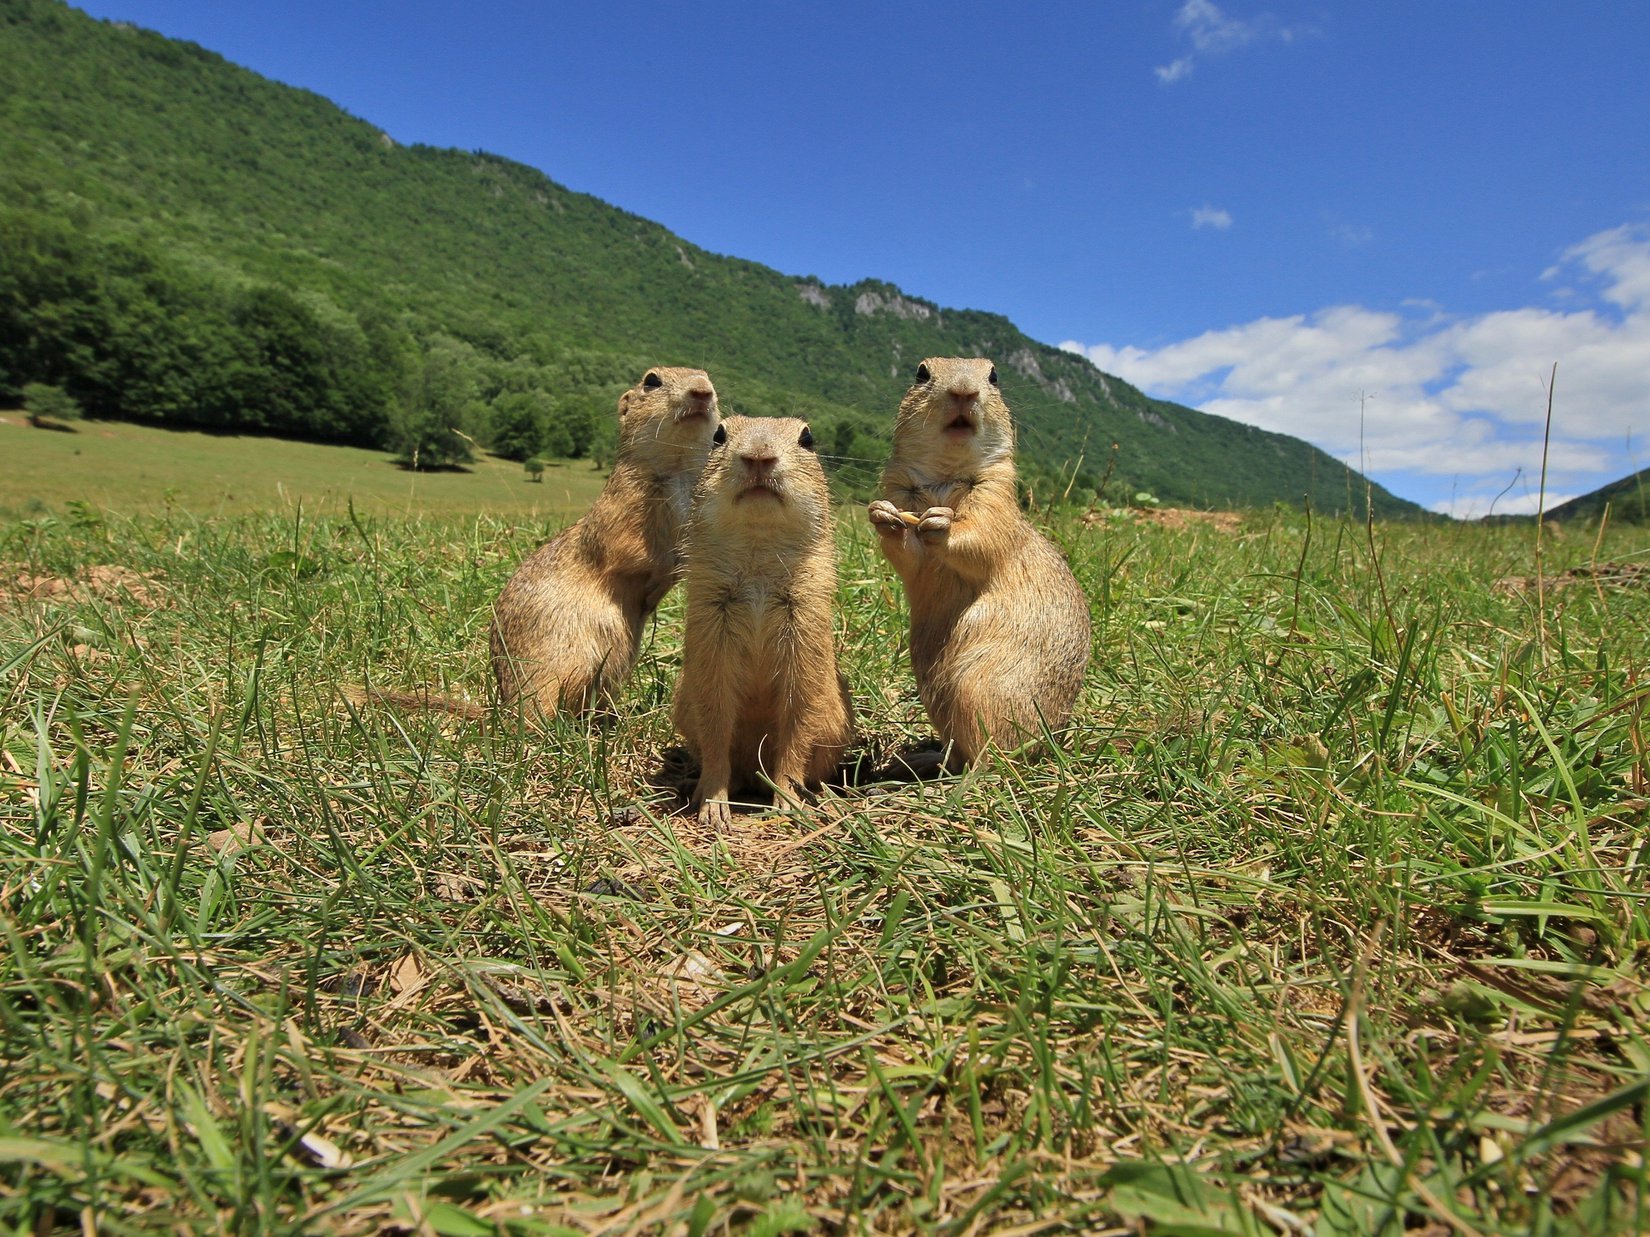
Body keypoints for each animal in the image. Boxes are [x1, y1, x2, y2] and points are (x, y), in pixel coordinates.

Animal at [491, 366, 719, 715]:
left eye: (708, 377)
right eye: (651, 380)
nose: (702, 391)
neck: (677, 469)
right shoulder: (621, 508)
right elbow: (628, 553)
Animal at [669, 417, 858, 834]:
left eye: (808, 437)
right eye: (718, 435)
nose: (758, 455)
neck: (758, 552)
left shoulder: (804, 621)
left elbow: (798, 719)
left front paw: (787, 801)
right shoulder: (711, 627)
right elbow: (715, 719)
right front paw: (713, 805)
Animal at [871, 357, 1089, 765]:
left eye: (994, 375)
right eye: (921, 372)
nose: (963, 391)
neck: (945, 475)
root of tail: (1048, 746)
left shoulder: (995, 495)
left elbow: (982, 538)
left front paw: (941, 524)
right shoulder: (900, 486)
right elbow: (908, 557)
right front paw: (883, 516)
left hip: (981, 688)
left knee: (993, 757)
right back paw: (925, 759)